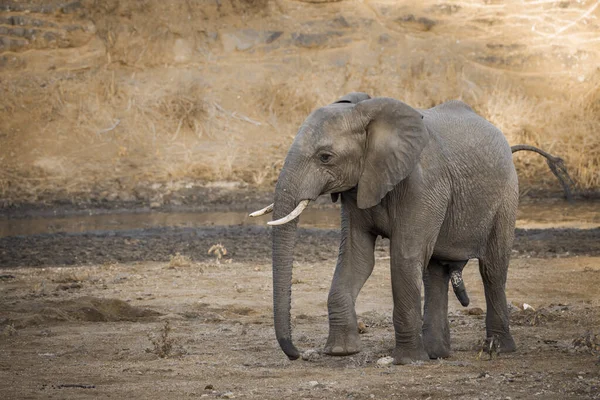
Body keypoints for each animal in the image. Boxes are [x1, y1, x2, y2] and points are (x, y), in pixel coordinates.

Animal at [251, 92, 576, 364]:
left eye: (325, 157)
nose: (297, 354)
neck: (369, 113)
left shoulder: (424, 184)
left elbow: (404, 256)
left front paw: (405, 361)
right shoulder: (359, 186)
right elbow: (357, 258)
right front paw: (341, 352)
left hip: (507, 194)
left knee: (492, 269)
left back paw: (496, 349)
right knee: (435, 272)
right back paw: (436, 353)